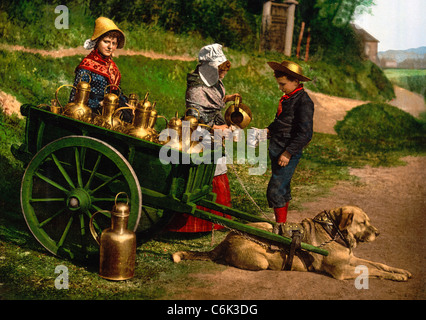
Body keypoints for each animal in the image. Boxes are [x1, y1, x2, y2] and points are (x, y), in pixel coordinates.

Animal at [173, 206, 412, 282]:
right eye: (363, 223)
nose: (378, 233)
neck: (332, 231)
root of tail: (225, 240)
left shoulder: (352, 259)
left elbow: (378, 264)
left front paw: (400, 271)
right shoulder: (342, 271)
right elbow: (372, 270)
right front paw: (396, 276)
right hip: (260, 257)